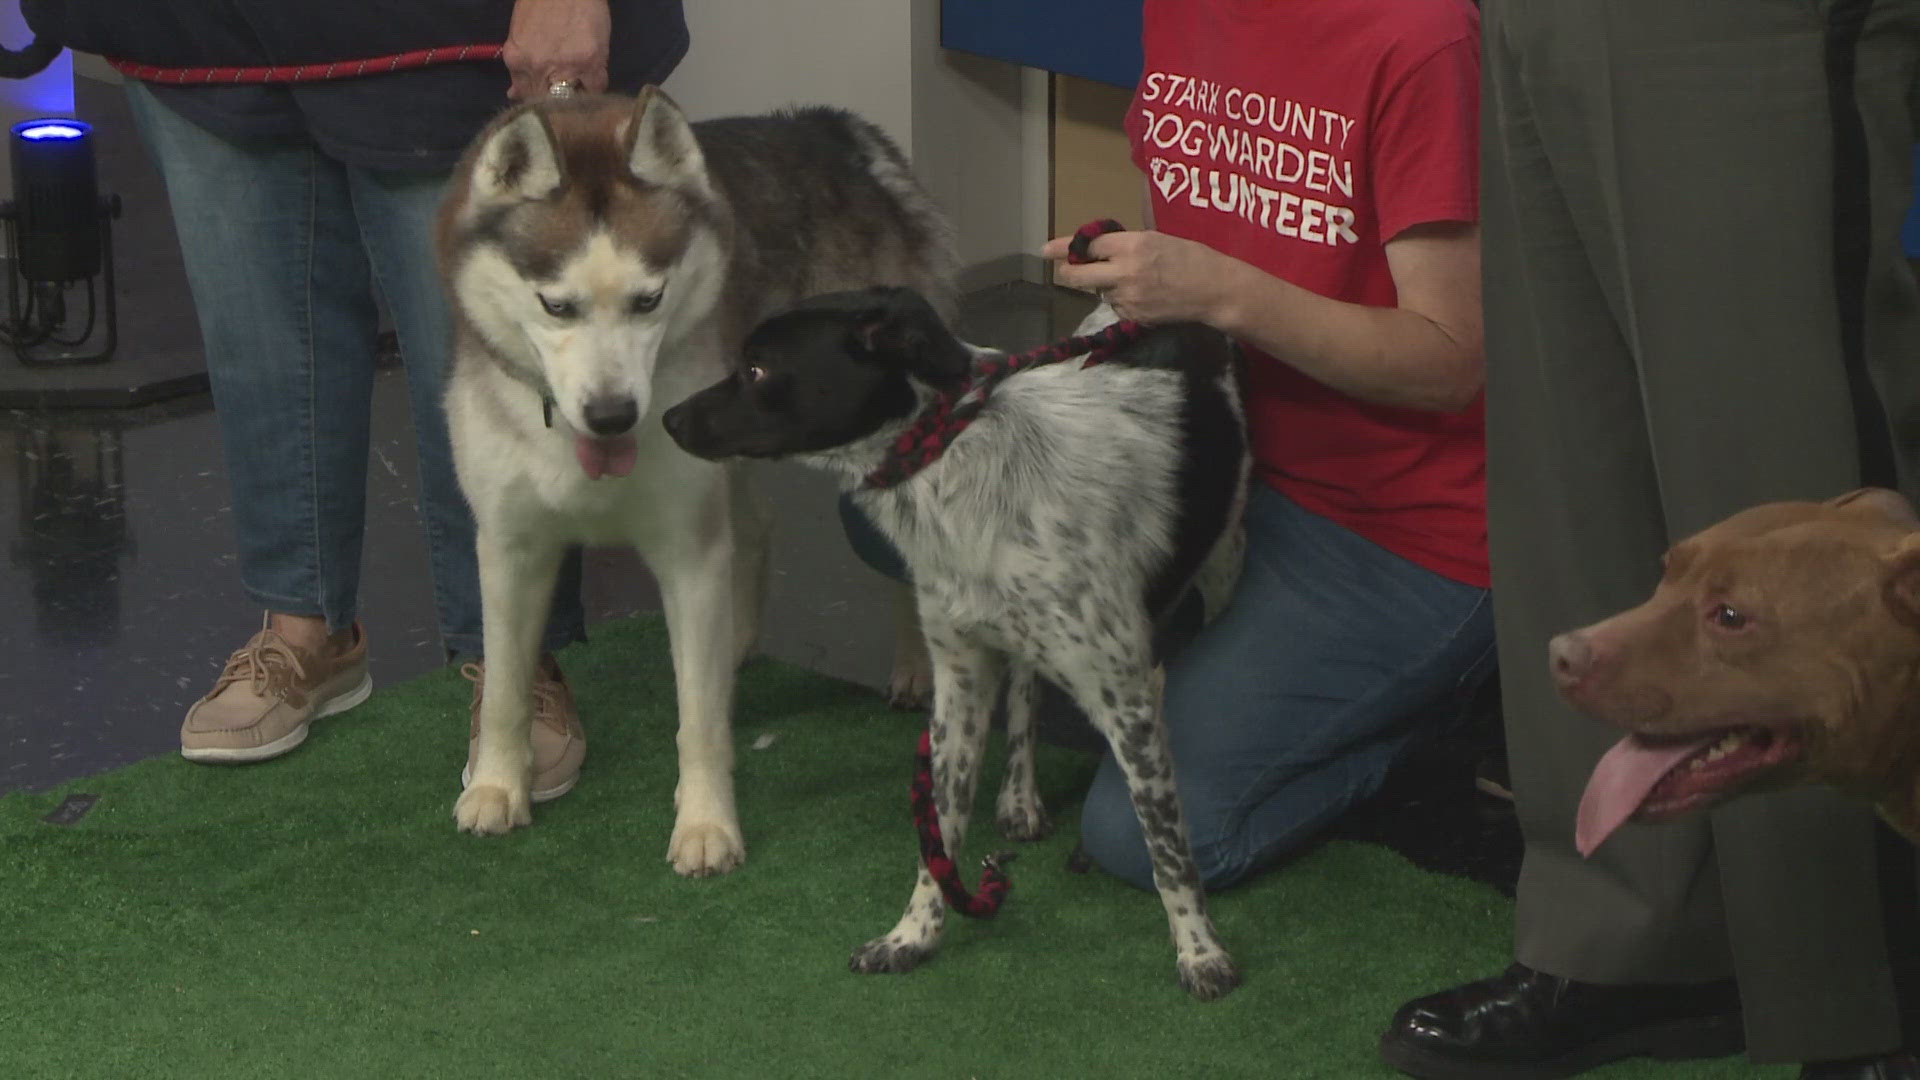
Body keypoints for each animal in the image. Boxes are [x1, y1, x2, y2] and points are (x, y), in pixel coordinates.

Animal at [668, 288, 1251, 999]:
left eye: (756, 369)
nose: (666, 418)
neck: (952, 467)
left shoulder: (1129, 696)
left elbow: (1167, 848)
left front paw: (1199, 950)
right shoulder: (959, 683)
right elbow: (939, 835)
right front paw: (911, 937)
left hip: (1225, 559)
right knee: (1026, 689)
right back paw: (1020, 797)